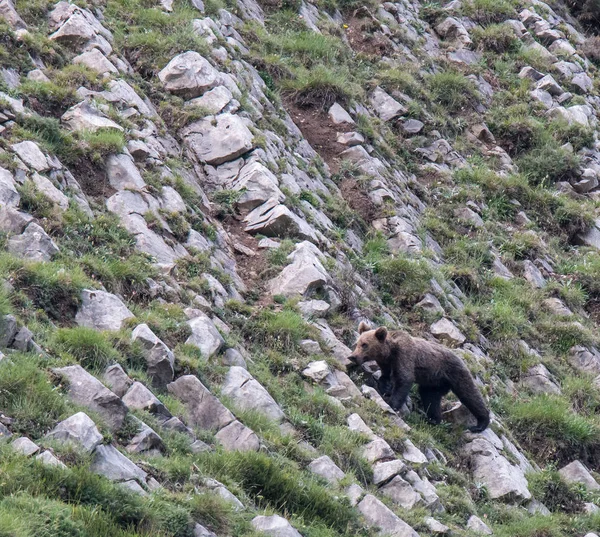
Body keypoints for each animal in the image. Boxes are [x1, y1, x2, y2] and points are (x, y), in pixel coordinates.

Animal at [350, 322, 490, 432]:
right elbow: (385, 377)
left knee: (469, 393)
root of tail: (461, 358)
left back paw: (480, 423)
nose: (353, 356)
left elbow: (404, 379)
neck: (389, 352)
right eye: (357, 343)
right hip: (433, 382)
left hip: (454, 372)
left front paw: (392, 404)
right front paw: (385, 389)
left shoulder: (405, 355)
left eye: (365, 344)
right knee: (430, 397)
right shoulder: (386, 364)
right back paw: (433, 419)